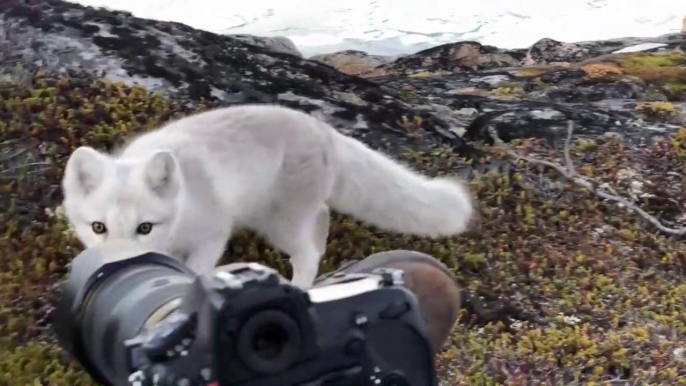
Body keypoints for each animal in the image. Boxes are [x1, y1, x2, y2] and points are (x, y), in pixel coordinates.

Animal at [60, 104, 478, 288]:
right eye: (98, 227)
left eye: (145, 227)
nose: (118, 266)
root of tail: (325, 130)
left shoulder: (214, 232)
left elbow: (196, 268)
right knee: (322, 221)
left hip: (279, 223)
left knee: (307, 255)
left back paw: (300, 289)